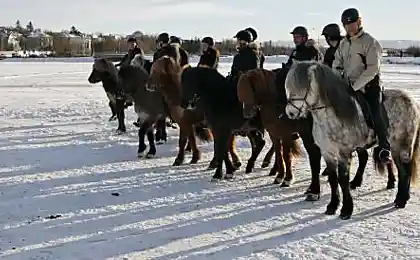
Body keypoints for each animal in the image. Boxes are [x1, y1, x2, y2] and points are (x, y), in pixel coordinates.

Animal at [284, 61, 418, 219]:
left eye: (305, 85)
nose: (290, 112)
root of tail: (410, 100)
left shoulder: (344, 153)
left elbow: (343, 180)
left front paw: (346, 210)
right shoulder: (327, 152)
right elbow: (333, 179)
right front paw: (332, 206)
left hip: (403, 145)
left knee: (406, 170)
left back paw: (402, 200)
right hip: (396, 147)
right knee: (401, 169)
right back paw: (400, 197)